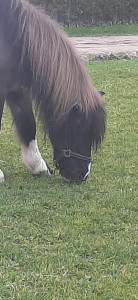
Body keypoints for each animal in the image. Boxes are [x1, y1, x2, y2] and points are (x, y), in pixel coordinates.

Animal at [0, 0, 105, 183]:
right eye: (83, 131)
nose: (82, 175)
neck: (10, 38)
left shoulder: (16, 88)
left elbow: (28, 123)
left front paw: (38, 166)